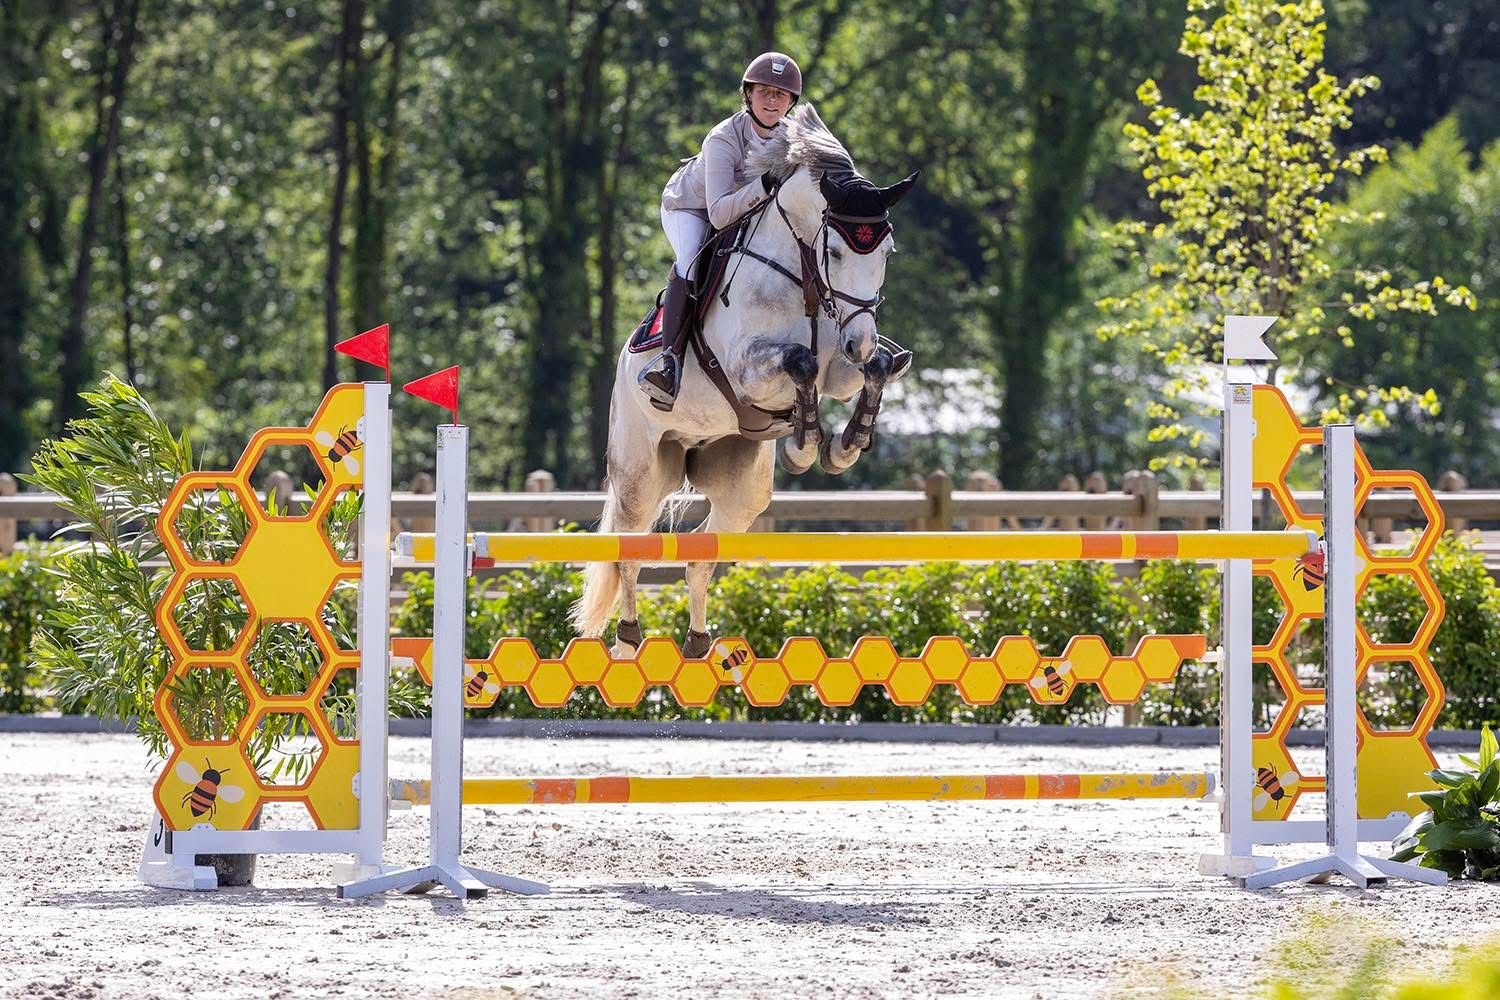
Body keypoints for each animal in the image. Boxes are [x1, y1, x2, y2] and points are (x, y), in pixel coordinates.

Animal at [570, 104, 918, 658]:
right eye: (837, 253)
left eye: (887, 251)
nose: (859, 341)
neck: (803, 275)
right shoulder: (748, 370)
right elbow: (798, 363)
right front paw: (803, 444)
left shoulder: (842, 367)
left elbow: (872, 370)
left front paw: (844, 444)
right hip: (641, 470)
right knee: (631, 551)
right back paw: (628, 641)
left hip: (739, 486)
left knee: (699, 557)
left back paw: (696, 642)